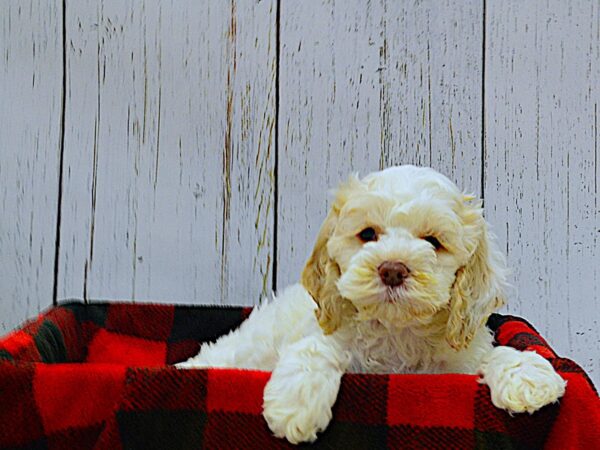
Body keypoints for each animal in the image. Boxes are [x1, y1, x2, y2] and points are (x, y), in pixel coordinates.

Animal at [176, 164, 564, 442]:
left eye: (433, 241)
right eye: (367, 234)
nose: (392, 269)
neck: (397, 333)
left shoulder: (460, 361)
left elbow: (491, 356)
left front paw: (528, 375)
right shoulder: (328, 333)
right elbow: (316, 348)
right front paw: (296, 402)